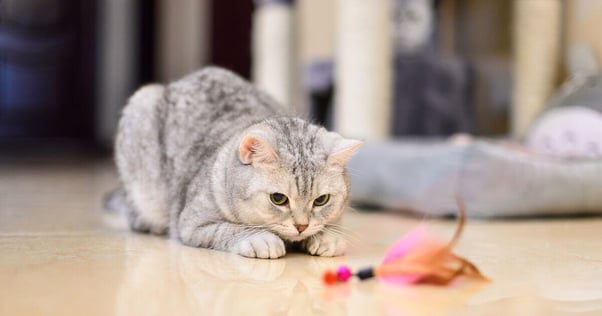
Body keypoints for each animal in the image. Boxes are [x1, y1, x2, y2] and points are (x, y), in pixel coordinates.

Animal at [113, 68, 360, 258]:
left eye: (321, 200)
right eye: (278, 199)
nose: (302, 226)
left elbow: (331, 226)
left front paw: (327, 237)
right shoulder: (193, 224)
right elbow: (230, 230)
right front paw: (262, 239)